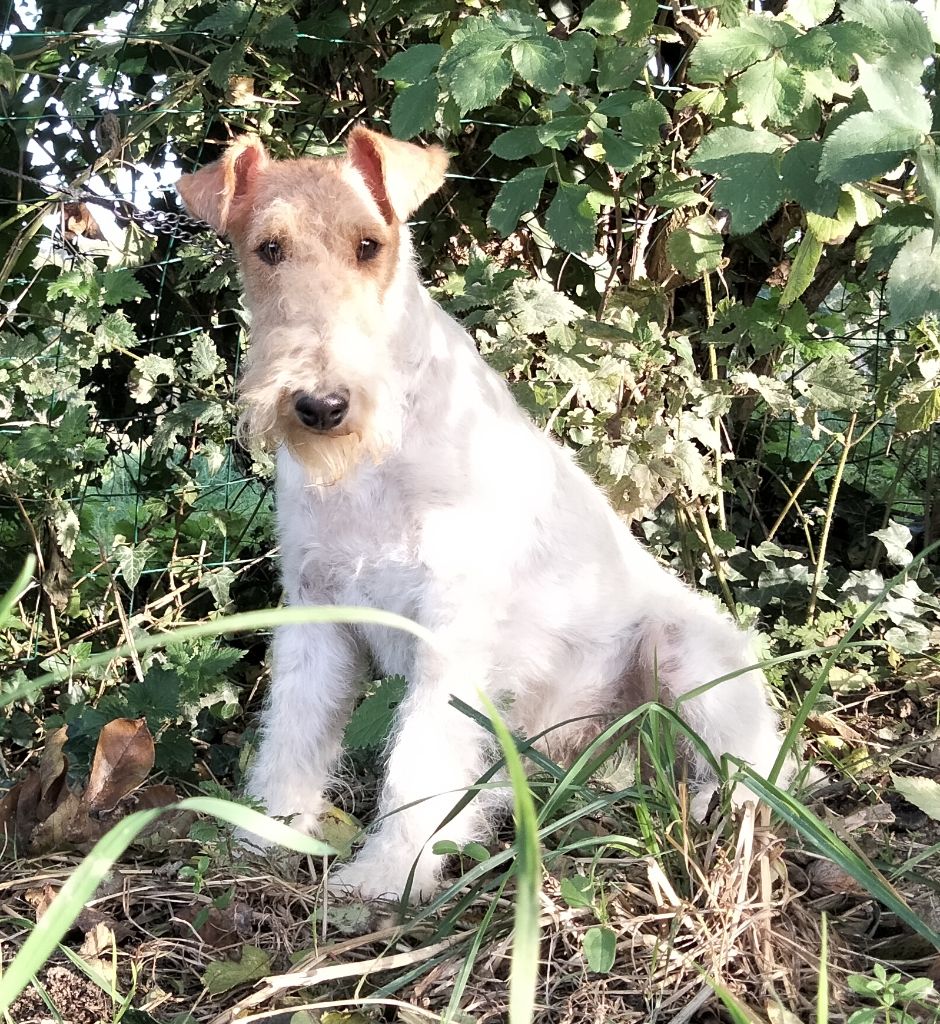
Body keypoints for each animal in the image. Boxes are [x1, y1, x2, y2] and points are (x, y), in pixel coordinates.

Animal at [175, 123, 786, 901]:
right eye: (269, 249)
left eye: (369, 244)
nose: (322, 405)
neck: (372, 467)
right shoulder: (316, 613)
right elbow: (295, 731)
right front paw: (265, 832)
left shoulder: (450, 623)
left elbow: (420, 759)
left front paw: (388, 873)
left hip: (690, 663)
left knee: (753, 768)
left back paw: (721, 815)